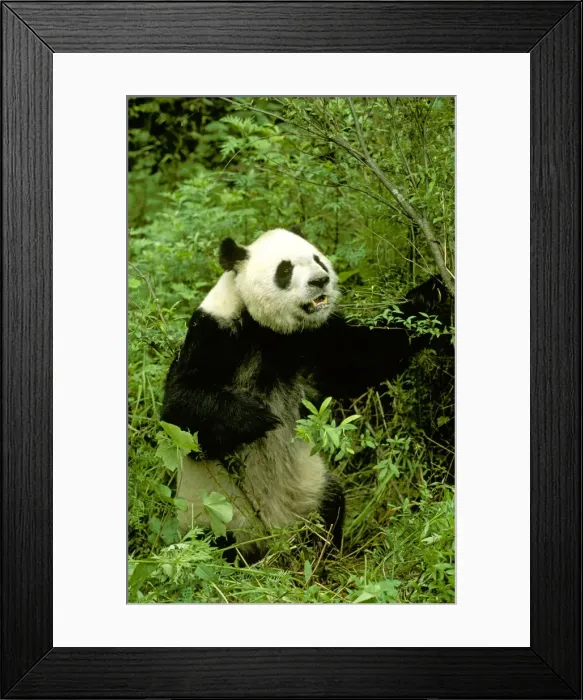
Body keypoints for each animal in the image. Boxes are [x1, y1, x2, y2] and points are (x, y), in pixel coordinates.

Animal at [161, 227, 448, 562]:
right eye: (284, 270)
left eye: (317, 259)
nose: (320, 280)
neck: (267, 330)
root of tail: (274, 537)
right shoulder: (214, 332)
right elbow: (180, 411)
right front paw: (257, 418)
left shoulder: (313, 337)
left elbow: (359, 361)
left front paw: (432, 297)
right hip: (215, 512)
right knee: (212, 547)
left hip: (309, 486)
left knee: (331, 505)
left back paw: (323, 553)